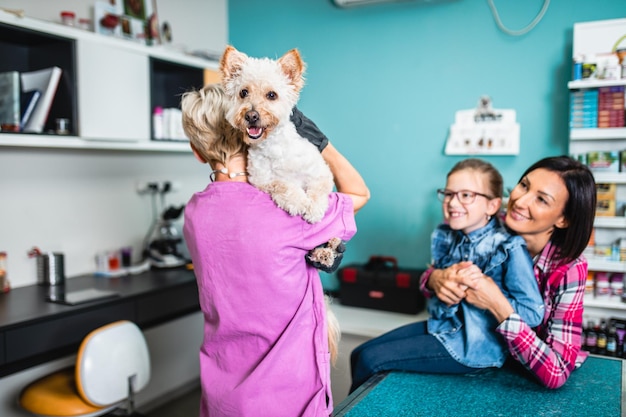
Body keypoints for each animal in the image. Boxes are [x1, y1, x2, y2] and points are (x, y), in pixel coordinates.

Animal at [218, 45, 334, 224]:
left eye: (272, 95)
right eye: (243, 92)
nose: (251, 116)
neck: (274, 146)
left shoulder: (322, 173)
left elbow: (318, 190)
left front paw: (314, 209)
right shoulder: (261, 180)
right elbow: (281, 183)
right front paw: (298, 201)